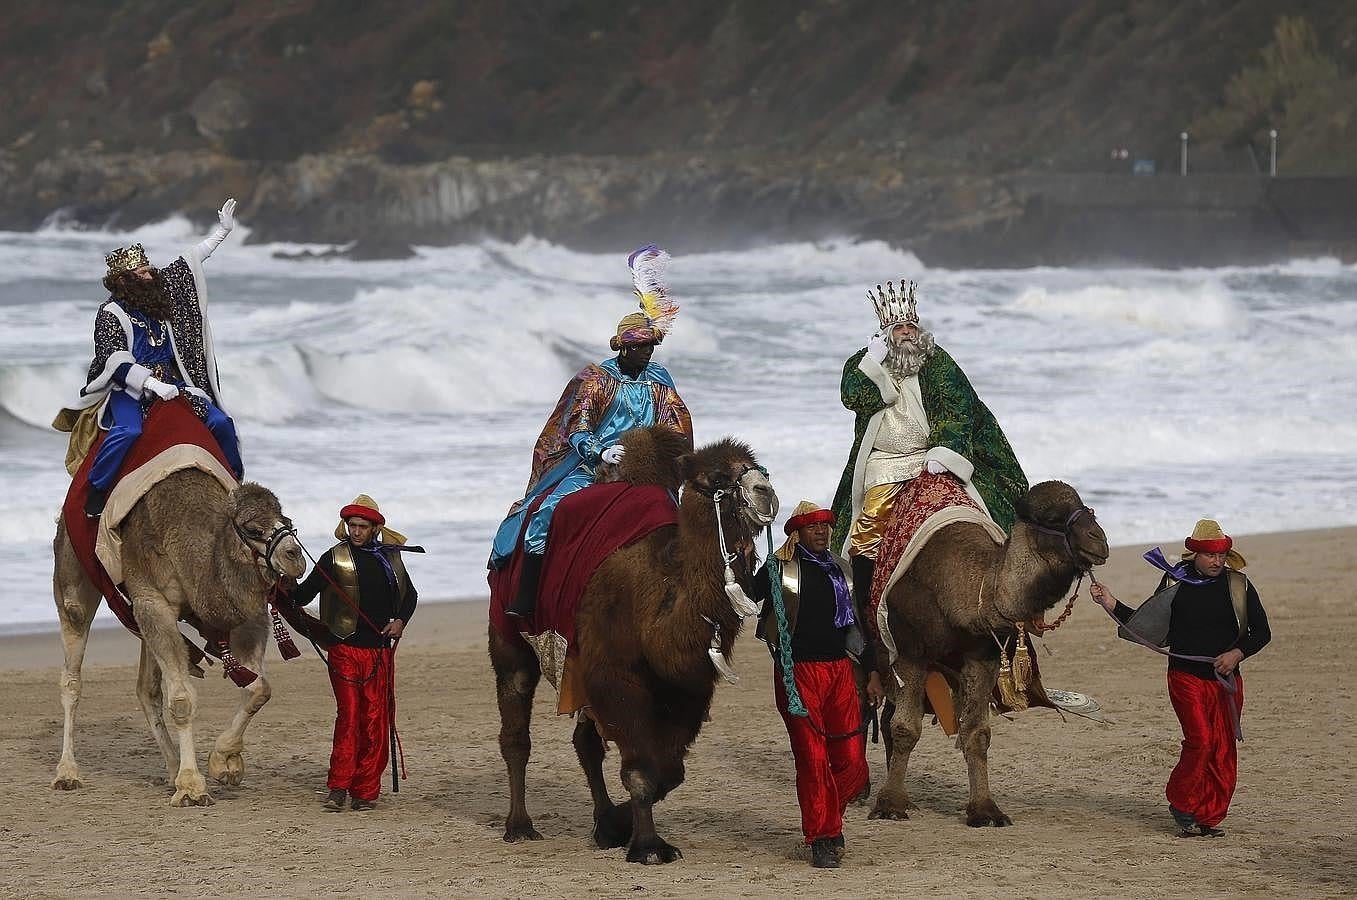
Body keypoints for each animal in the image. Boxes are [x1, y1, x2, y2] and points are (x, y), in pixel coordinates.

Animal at [51, 472, 306, 809]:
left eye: (287, 521)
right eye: (253, 529)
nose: (296, 556)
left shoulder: (244, 611)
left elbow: (259, 688)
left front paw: (224, 762)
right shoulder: (152, 599)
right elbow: (183, 699)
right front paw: (192, 787)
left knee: (146, 689)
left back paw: (172, 768)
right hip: (74, 572)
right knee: (72, 668)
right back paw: (67, 772)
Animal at [493, 428, 781, 868]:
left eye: (757, 467)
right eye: (715, 478)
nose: (765, 492)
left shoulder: (687, 689)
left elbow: (669, 772)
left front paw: (616, 825)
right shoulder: (615, 675)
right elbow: (642, 772)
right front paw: (648, 847)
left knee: (586, 742)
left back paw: (601, 821)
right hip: (510, 636)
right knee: (516, 728)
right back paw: (520, 826)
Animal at [863, 483, 1107, 825]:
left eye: (1087, 507)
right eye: (1053, 519)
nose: (1099, 540)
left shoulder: (982, 656)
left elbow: (977, 733)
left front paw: (985, 810)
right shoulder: (910, 652)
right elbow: (906, 728)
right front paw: (890, 805)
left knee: (886, 718)